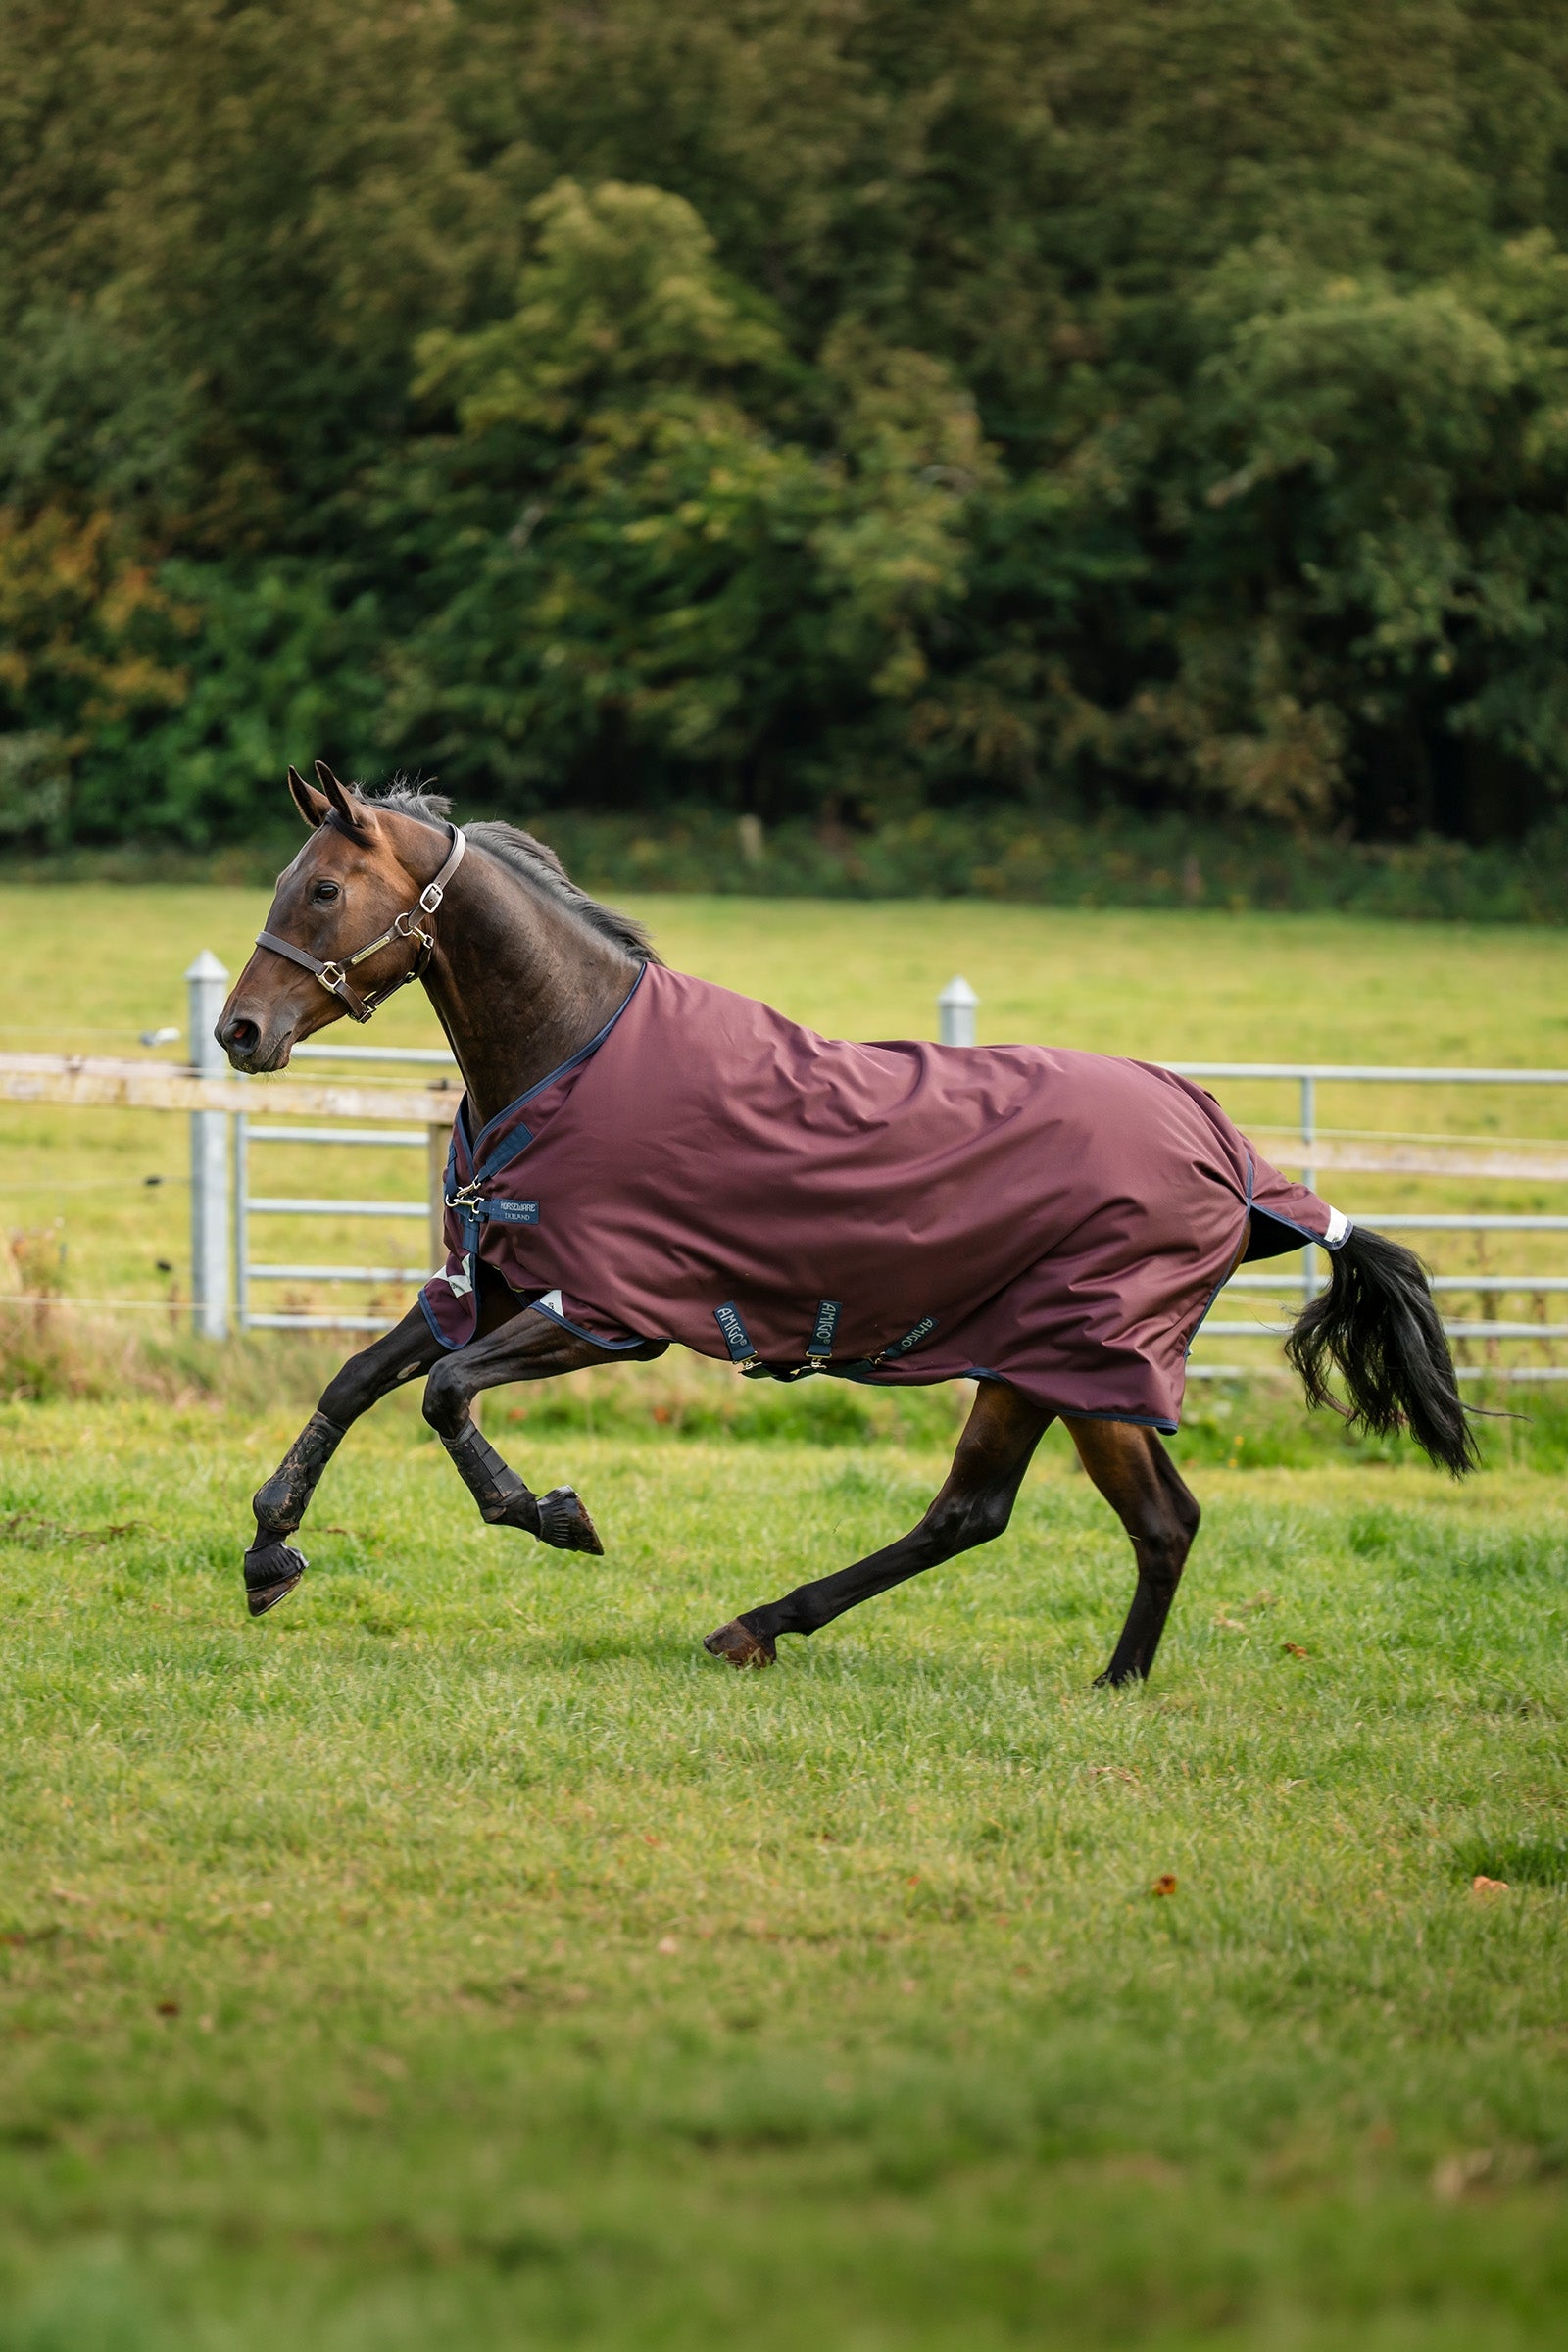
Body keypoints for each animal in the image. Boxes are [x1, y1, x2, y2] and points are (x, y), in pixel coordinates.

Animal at [215, 764, 1474, 1684]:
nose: (239, 1032)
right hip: (1045, 1367)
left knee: (1094, 1518)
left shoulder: (614, 1313)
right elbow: (358, 1381)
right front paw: (271, 1548)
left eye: (321, 889)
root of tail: (1235, 1160)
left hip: (1077, 1356)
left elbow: (443, 1394)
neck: (575, 1047)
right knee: (1032, 1515)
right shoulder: (502, 1283)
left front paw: (549, 1513)